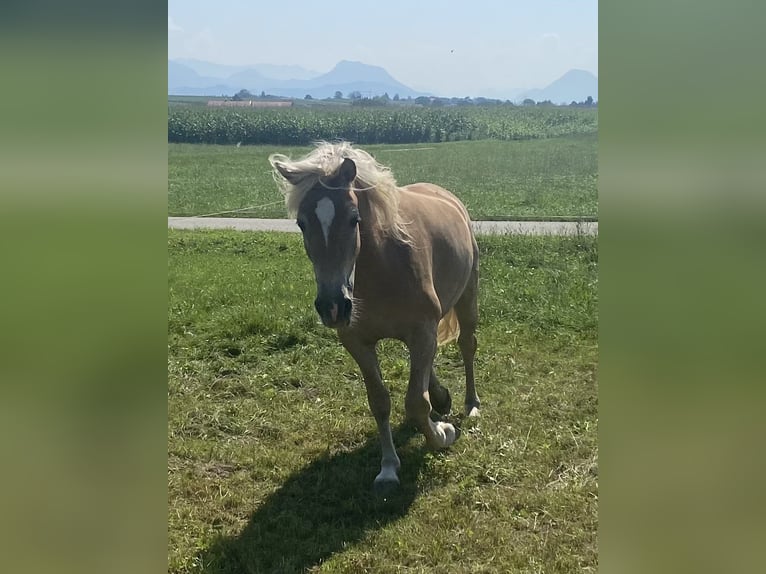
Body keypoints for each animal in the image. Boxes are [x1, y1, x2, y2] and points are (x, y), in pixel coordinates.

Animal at [268, 143, 476, 490]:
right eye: (301, 223)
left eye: (354, 219)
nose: (333, 306)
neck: (383, 267)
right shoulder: (358, 342)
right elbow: (380, 401)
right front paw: (389, 467)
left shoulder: (422, 330)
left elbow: (416, 402)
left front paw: (442, 435)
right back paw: (442, 398)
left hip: (468, 297)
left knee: (468, 347)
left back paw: (472, 406)